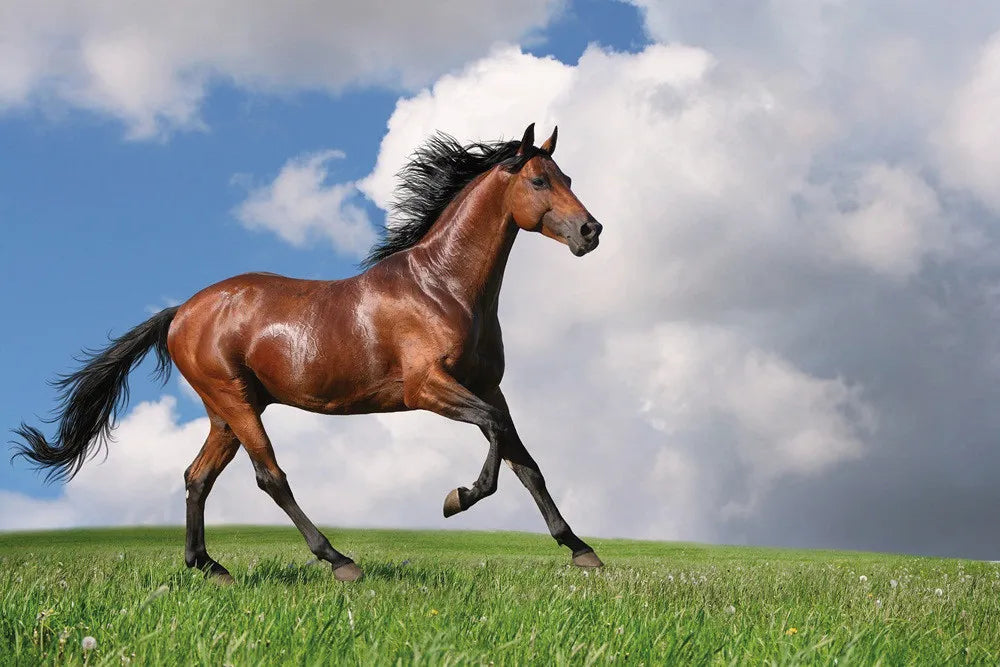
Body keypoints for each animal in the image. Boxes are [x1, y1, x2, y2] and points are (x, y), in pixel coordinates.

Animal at [13, 123, 605, 583]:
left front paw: (581, 550)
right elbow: (497, 439)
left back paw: (209, 567)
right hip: (236, 403)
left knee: (197, 477)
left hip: (226, 412)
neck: (443, 287)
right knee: (270, 476)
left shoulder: (488, 386)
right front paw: (456, 498)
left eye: (569, 178)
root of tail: (181, 312)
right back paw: (339, 560)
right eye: (539, 179)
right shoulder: (428, 388)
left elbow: (525, 461)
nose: (591, 230)